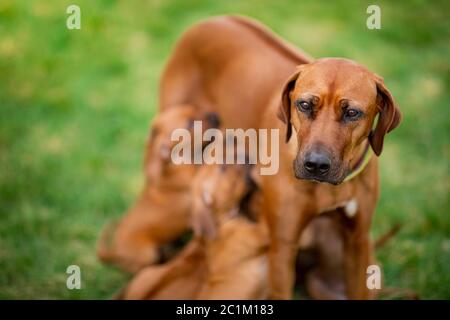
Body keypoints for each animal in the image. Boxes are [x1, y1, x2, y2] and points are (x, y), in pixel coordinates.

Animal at [159, 15, 400, 300]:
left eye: (352, 112)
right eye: (304, 105)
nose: (316, 165)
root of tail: (213, 19)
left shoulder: (358, 242)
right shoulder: (282, 246)